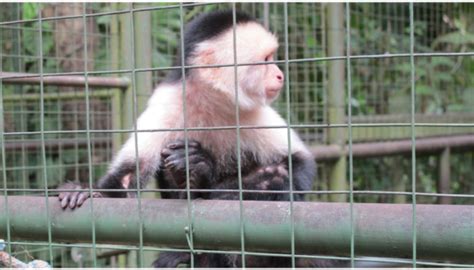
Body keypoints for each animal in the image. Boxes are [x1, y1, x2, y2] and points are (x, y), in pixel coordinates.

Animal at [58, 9, 340, 266]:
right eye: (265, 60)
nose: (280, 74)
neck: (209, 100)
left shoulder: (252, 111)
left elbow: (298, 163)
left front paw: (205, 174)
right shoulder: (167, 104)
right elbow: (125, 182)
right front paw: (87, 192)